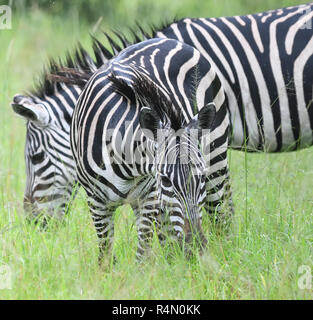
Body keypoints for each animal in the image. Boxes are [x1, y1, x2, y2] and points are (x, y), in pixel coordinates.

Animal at [52, 37, 229, 258]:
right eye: (165, 180)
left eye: (201, 177)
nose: (195, 246)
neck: (124, 162)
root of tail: (168, 40)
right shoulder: (96, 203)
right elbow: (106, 255)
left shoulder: (149, 198)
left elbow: (142, 253)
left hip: (217, 153)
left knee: (222, 212)